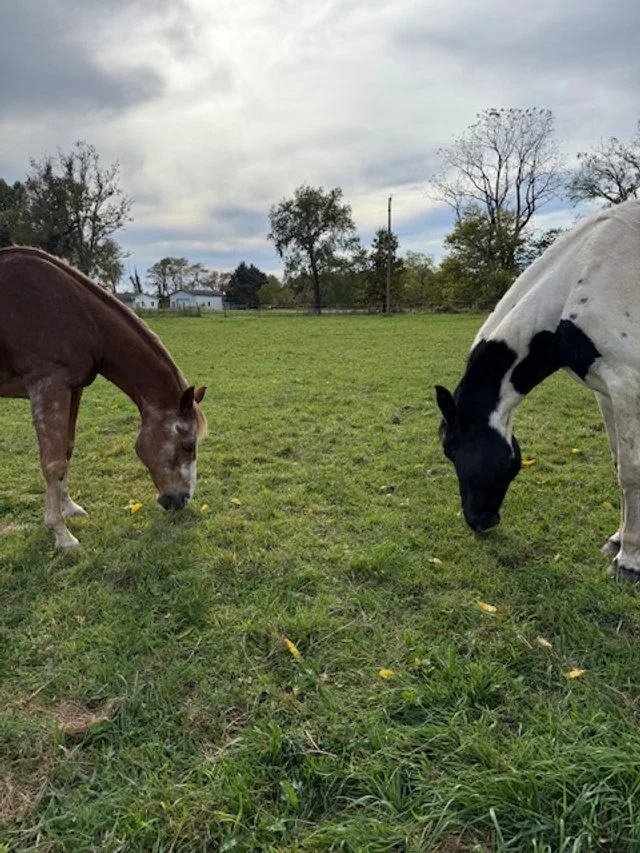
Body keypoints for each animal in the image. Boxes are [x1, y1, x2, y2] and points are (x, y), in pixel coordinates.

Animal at [0, 246, 207, 549]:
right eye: (187, 445)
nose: (181, 500)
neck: (78, 315)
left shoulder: (72, 389)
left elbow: (66, 450)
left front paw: (69, 508)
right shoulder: (47, 387)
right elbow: (52, 462)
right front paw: (61, 533)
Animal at [435, 198, 640, 576]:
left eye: (450, 449)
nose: (478, 521)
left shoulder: (627, 387)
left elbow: (632, 472)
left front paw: (629, 561)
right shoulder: (606, 392)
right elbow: (619, 463)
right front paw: (618, 540)